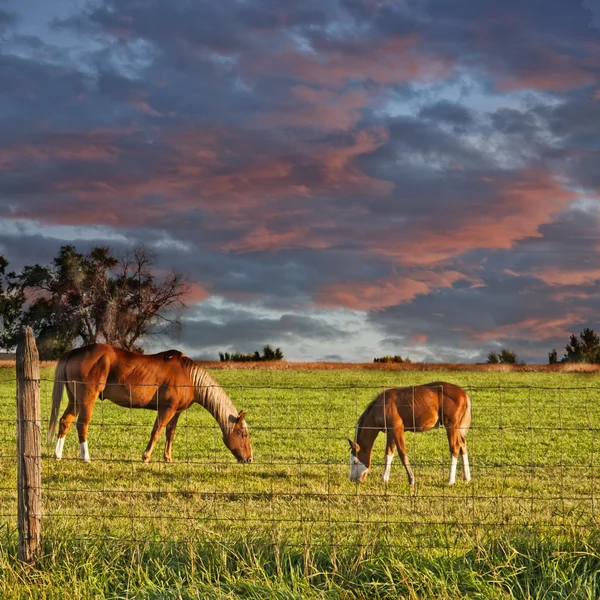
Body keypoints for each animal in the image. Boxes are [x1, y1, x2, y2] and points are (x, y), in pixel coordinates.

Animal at [48, 342, 252, 464]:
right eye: (243, 434)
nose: (249, 458)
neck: (189, 376)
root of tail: (75, 351)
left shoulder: (176, 412)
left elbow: (170, 433)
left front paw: (168, 458)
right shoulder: (166, 409)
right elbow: (157, 431)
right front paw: (146, 457)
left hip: (75, 400)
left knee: (65, 421)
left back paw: (57, 454)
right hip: (87, 400)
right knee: (82, 425)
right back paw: (86, 457)